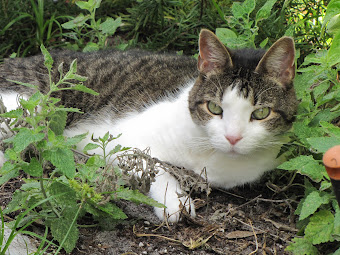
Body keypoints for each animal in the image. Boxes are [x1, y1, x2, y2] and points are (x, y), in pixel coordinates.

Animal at [0, 29, 298, 221]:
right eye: (215, 108)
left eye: (261, 113)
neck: (212, 158)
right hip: (28, 107)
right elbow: (151, 163)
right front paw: (175, 201)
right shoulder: (119, 139)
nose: (233, 138)